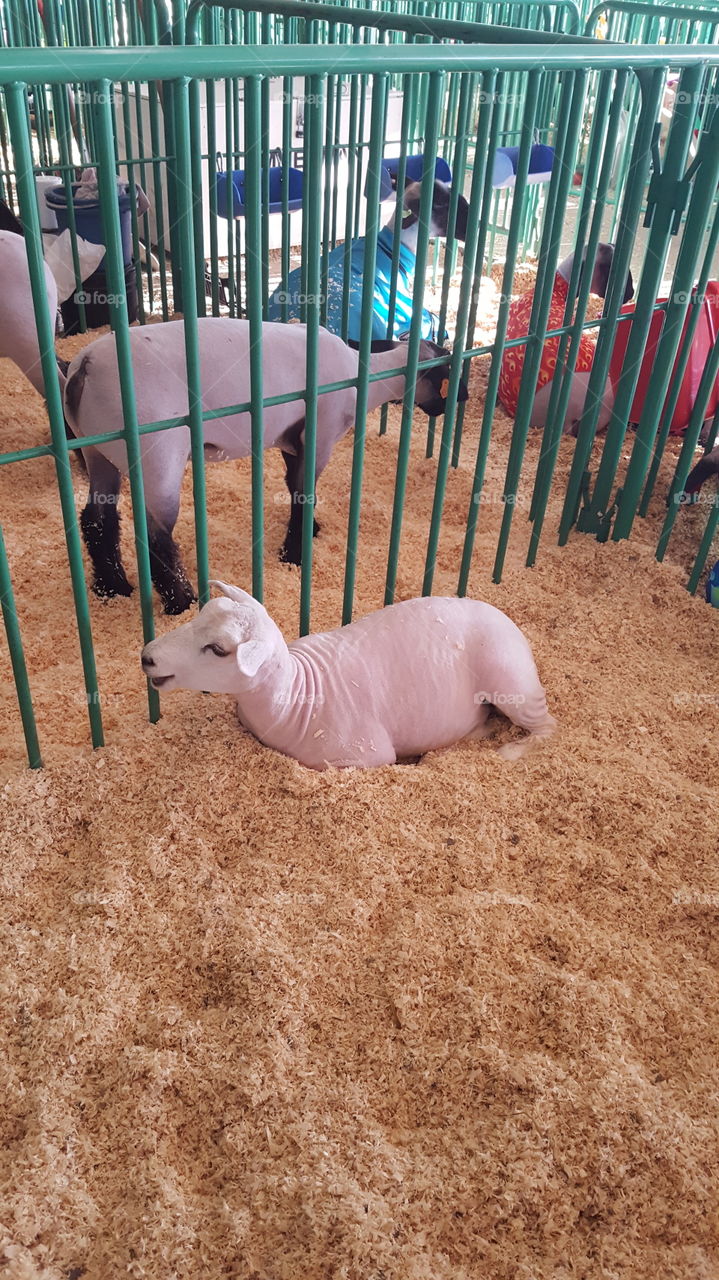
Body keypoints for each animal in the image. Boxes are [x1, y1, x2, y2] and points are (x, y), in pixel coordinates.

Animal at [63, 317, 468, 614]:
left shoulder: (292, 439)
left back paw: (112, 587)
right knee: (155, 538)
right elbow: (304, 492)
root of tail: (84, 367)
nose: (461, 400)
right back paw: (182, 600)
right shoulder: (320, 433)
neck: (365, 372)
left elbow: (294, 486)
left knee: (97, 519)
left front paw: (311, 532)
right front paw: (296, 553)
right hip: (157, 453)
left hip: (98, 452)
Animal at [140, 581, 556, 770]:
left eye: (218, 649)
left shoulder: (366, 755)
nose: (147, 657)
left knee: (547, 728)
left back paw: (509, 750)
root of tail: (504, 617)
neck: (295, 696)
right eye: (200, 614)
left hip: (512, 680)